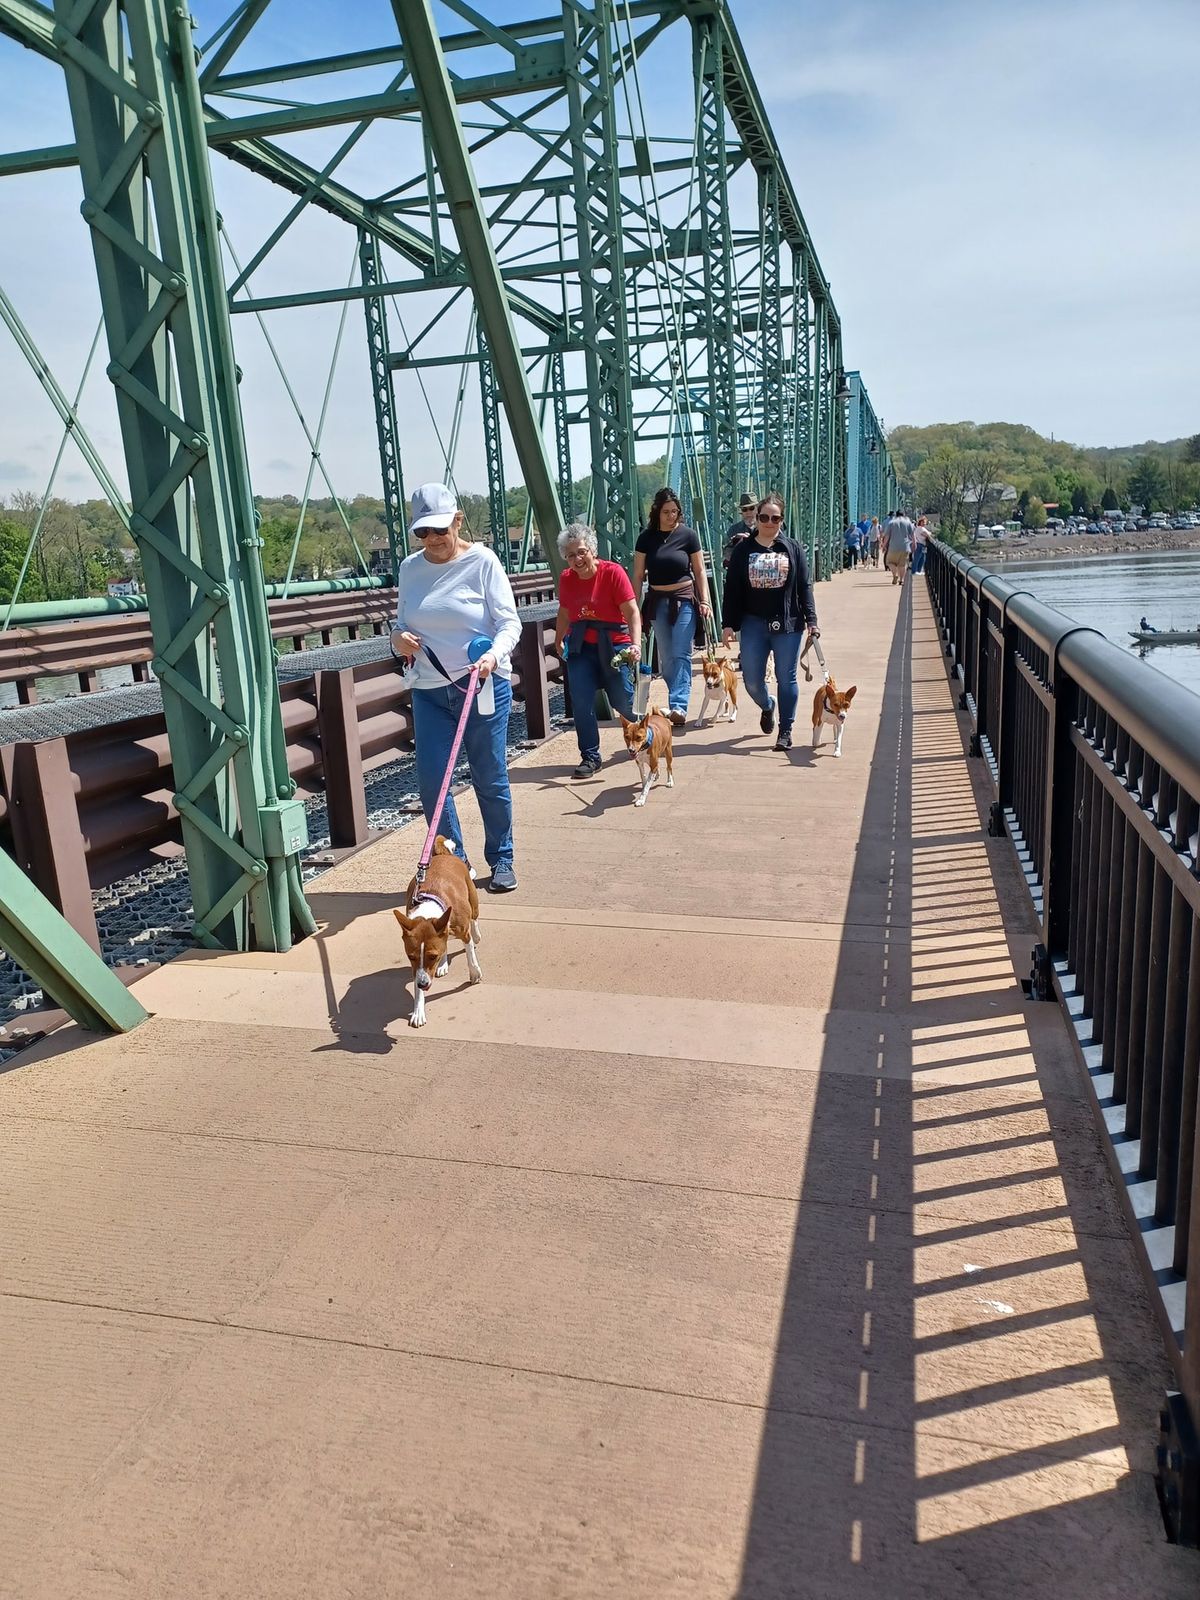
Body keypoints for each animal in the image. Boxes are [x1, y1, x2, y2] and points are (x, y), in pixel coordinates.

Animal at [400, 832, 483, 1030]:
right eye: (411, 957)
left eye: (432, 956)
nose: (423, 984)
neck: (431, 905)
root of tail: (442, 855)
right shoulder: (417, 968)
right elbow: (417, 984)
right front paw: (418, 1012)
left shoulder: (464, 932)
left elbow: (470, 954)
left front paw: (475, 973)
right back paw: (444, 964)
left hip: (472, 898)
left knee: (475, 918)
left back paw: (477, 935)